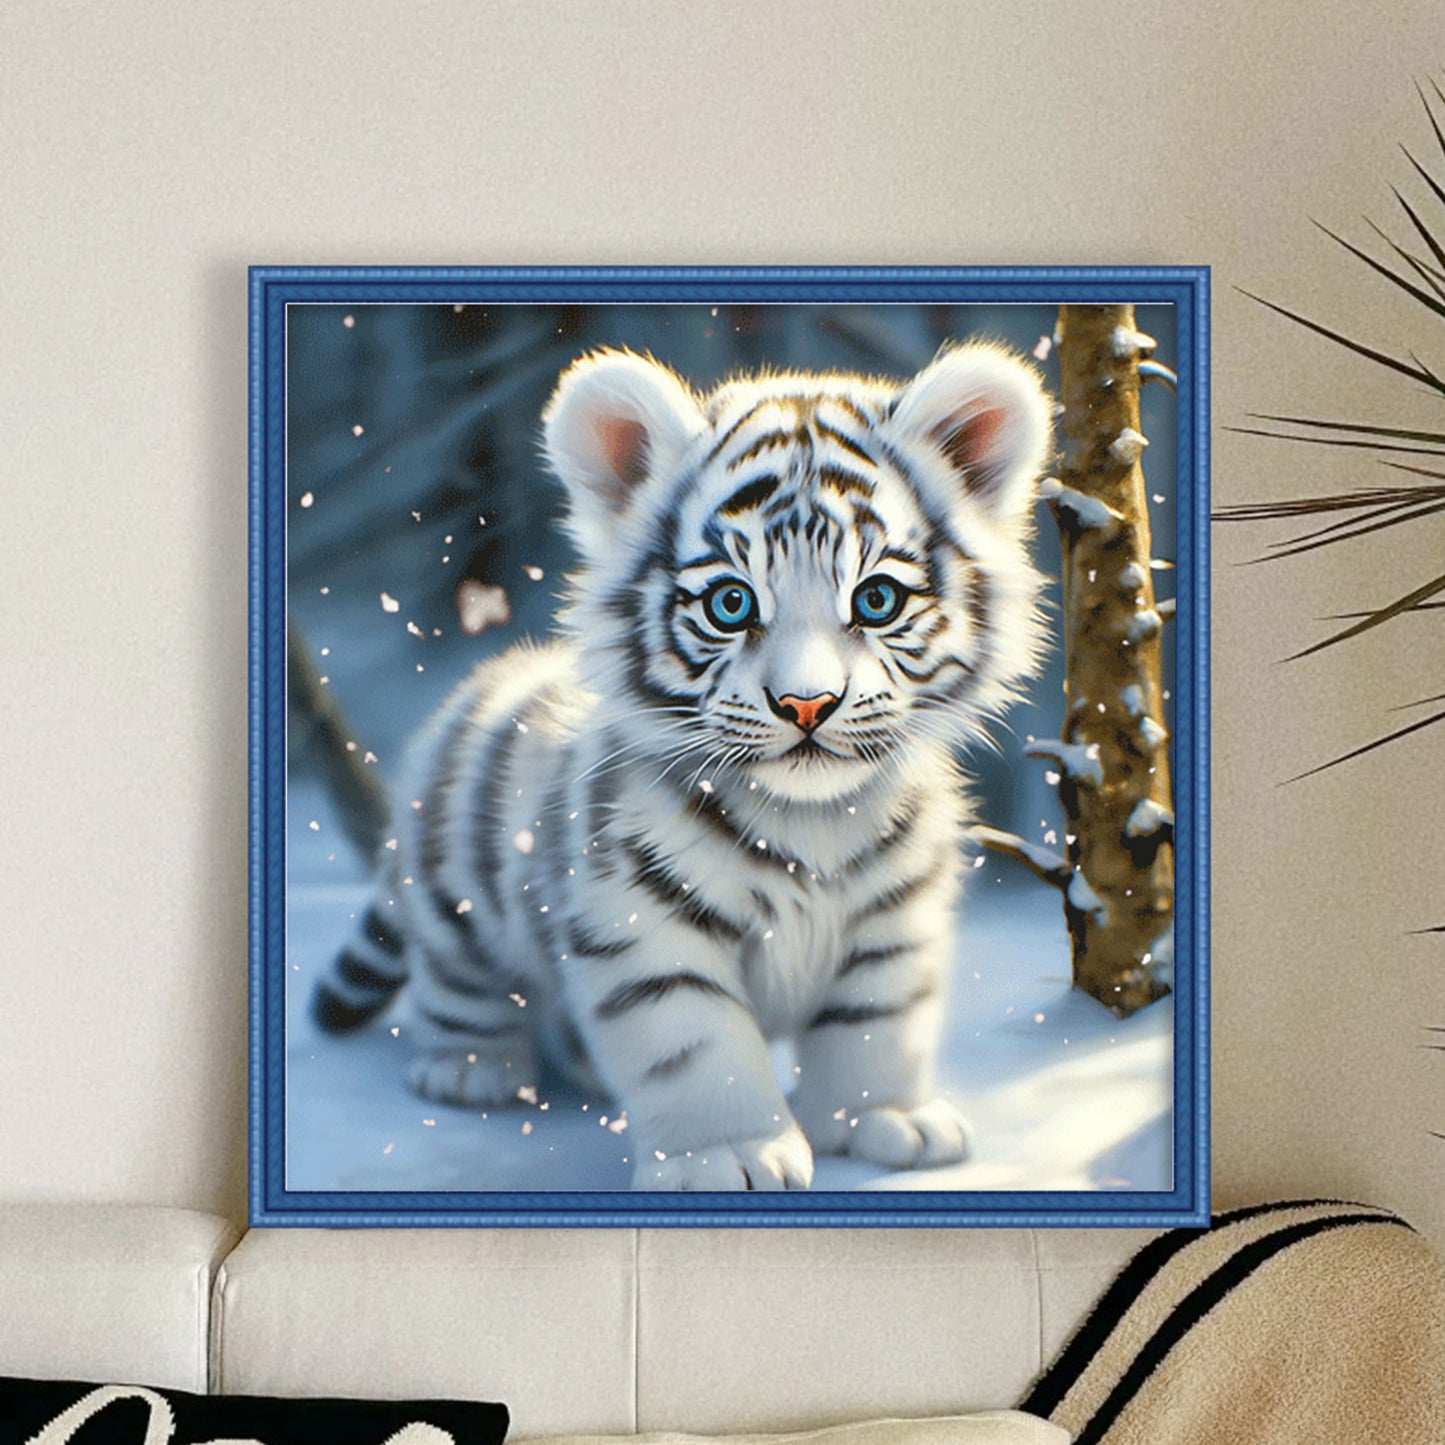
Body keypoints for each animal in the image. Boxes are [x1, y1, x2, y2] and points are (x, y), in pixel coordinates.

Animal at [312, 342, 1052, 1191]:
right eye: (731, 603)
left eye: (875, 601)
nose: (806, 704)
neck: (810, 820)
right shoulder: (642, 927)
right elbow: (697, 1045)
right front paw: (730, 1154)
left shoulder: (894, 922)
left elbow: (874, 1022)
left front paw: (884, 1121)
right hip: (455, 907)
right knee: (455, 984)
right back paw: (470, 1070)